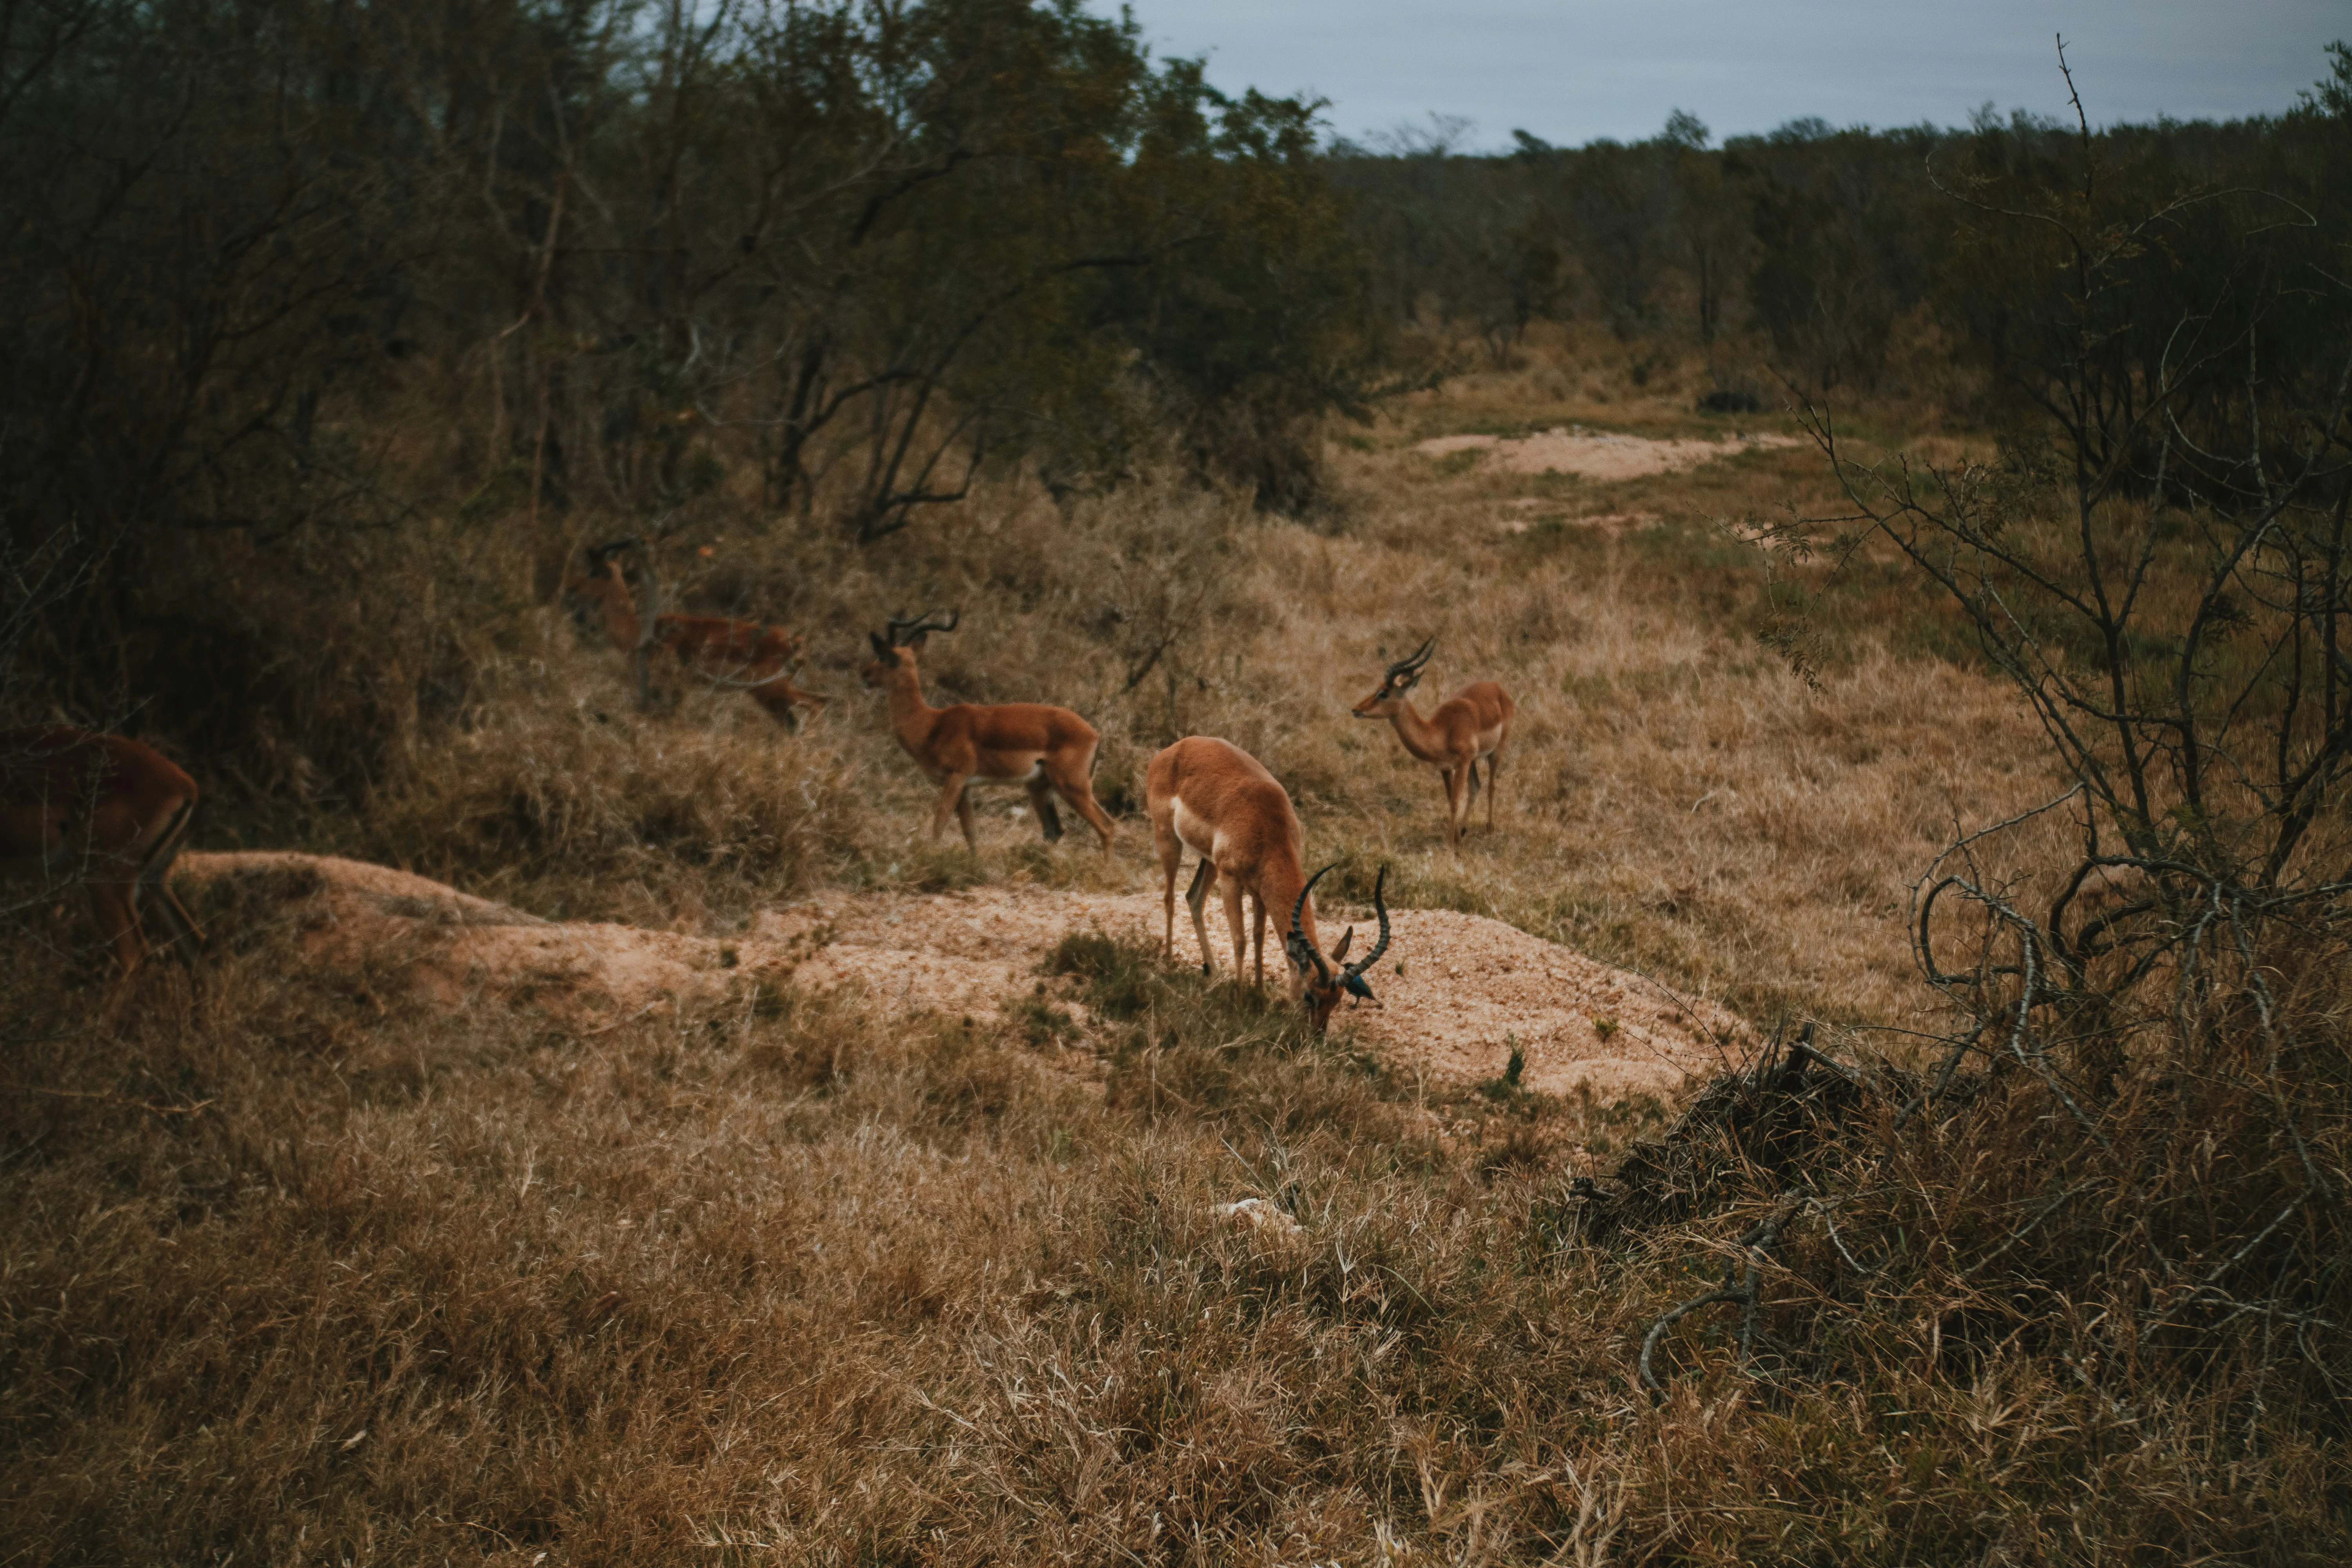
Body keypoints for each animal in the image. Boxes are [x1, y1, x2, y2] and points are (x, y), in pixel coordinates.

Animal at [564, 540, 828, 729]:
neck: (639, 632)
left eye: (594, 571)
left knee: (817, 705)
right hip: (771, 694)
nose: (570, 589)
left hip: (770, 690)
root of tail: (798, 642)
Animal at [860, 610, 1117, 856]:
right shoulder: (965, 787)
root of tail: (1094, 733)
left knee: (1106, 827)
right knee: (1054, 831)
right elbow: (970, 832)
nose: (865, 675)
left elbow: (939, 824)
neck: (932, 724)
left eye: (884, 656)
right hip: (1039, 787)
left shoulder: (956, 778)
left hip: (1073, 787)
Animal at [1145, 735, 1391, 1035]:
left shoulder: (1260, 891)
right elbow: (1240, 939)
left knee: (1194, 899)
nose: (1316, 1036)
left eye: (1338, 999)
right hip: (1169, 840)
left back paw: (1213, 972)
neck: (1267, 823)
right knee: (1170, 897)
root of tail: (1176, 748)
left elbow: (1259, 938)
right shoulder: (1231, 880)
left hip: (1209, 862)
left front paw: (1259, 996)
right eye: (1310, 995)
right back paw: (1170, 963)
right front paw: (1239, 1000)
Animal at [1352, 639, 1515, 848]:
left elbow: (1455, 802)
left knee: (1491, 786)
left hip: (1495, 752)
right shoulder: (1446, 768)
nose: (1356, 709)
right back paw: (1464, 831)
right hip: (1474, 761)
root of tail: (1498, 688)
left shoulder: (1462, 763)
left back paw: (1489, 829)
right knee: (1476, 787)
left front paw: (1450, 846)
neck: (1441, 732)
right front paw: (1456, 840)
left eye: (1384, 693)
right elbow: (1451, 799)